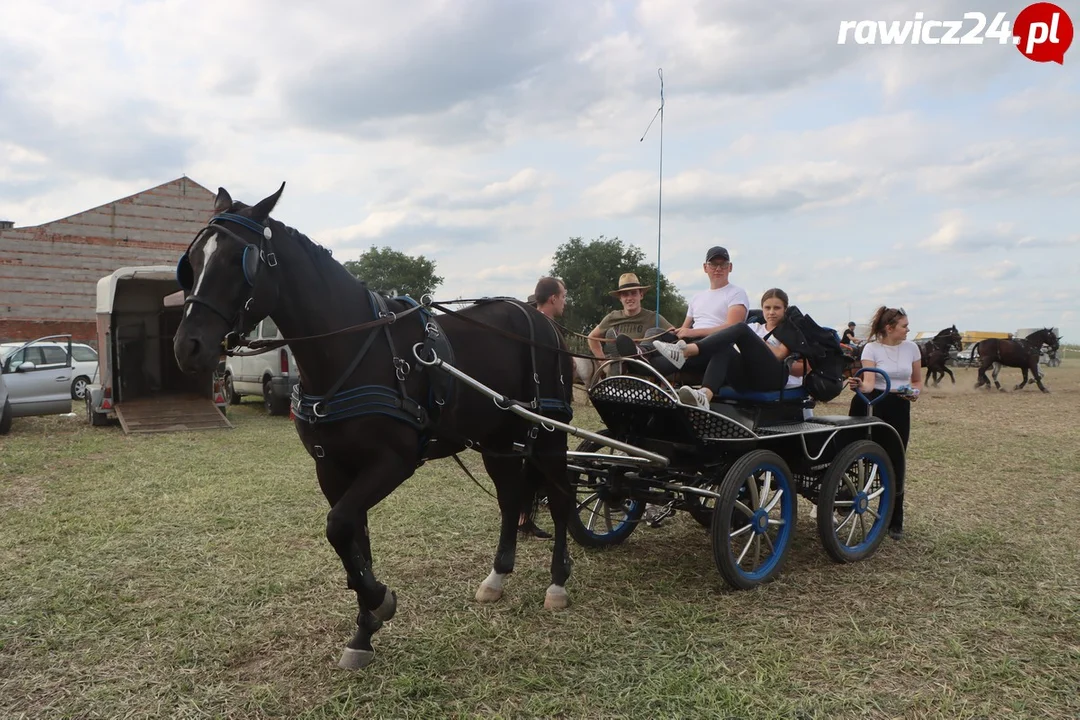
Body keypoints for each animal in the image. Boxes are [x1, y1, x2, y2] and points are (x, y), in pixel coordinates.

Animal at [170, 184, 574, 669]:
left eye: (239, 260)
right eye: (192, 262)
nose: (188, 347)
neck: (349, 350)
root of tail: (542, 321)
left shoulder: (393, 462)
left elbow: (339, 526)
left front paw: (379, 602)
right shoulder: (331, 468)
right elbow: (352, 538)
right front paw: (364, 629)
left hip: (549, 434)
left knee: (561, 497)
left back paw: (557, 583)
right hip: (497, 439)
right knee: (511, 498)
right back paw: (496, 578)